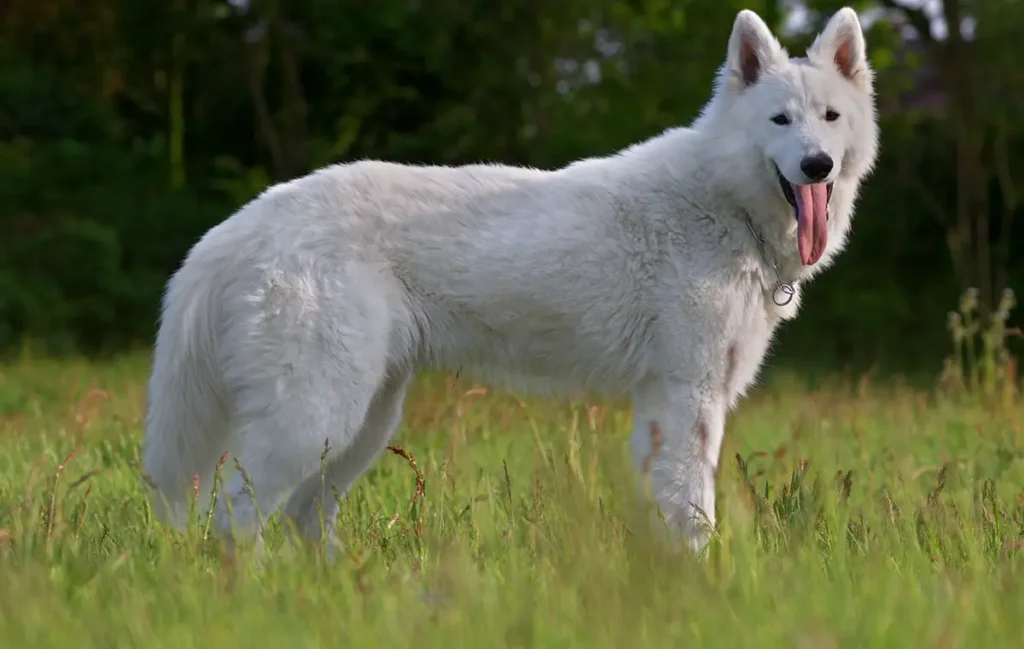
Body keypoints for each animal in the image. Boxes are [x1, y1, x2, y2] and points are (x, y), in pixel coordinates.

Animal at [142, 6, 880, 552]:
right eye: (779, 120)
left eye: (830, 119)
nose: (816, 165)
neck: (723, 205)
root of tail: (246, 221)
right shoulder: (686, 399)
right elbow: (693, 514)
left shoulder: (662, 408)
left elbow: (667, 512)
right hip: (317, 415)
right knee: (237, 518)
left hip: (362, 422)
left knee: (302, 518)